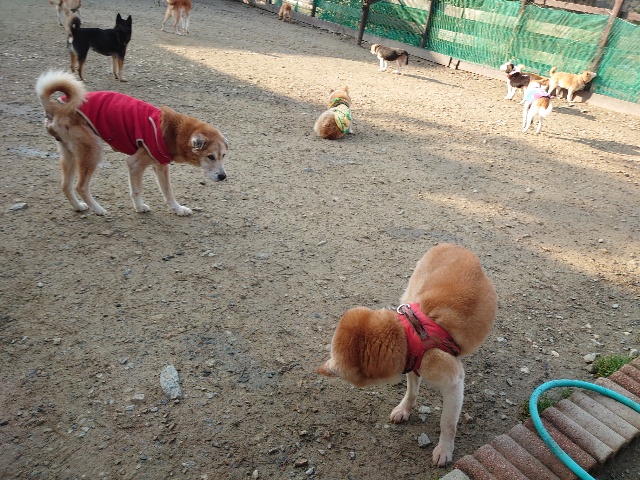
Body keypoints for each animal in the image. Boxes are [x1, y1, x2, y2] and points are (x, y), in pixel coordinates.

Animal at [35, 70, 229, 216]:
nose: (223, 176)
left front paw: (178, 209)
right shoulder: (135, 163)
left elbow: (168, 192)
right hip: (93, 151)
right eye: (210, 157)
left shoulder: (161, 166)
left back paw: (78, 207)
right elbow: (137, 190)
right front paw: (140, 207)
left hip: (70, 154)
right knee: (80, 186)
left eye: (223, 156)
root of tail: (55, 107)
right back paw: (98, 209)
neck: (175, 132)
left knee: (66, 186)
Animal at [318, 243, 497, 466]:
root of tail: (454, 245)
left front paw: (444, 449)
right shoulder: (412, 362)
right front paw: (405, 409)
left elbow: (447, 423)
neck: (407, 335)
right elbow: (411, 391)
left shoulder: (453, 382)